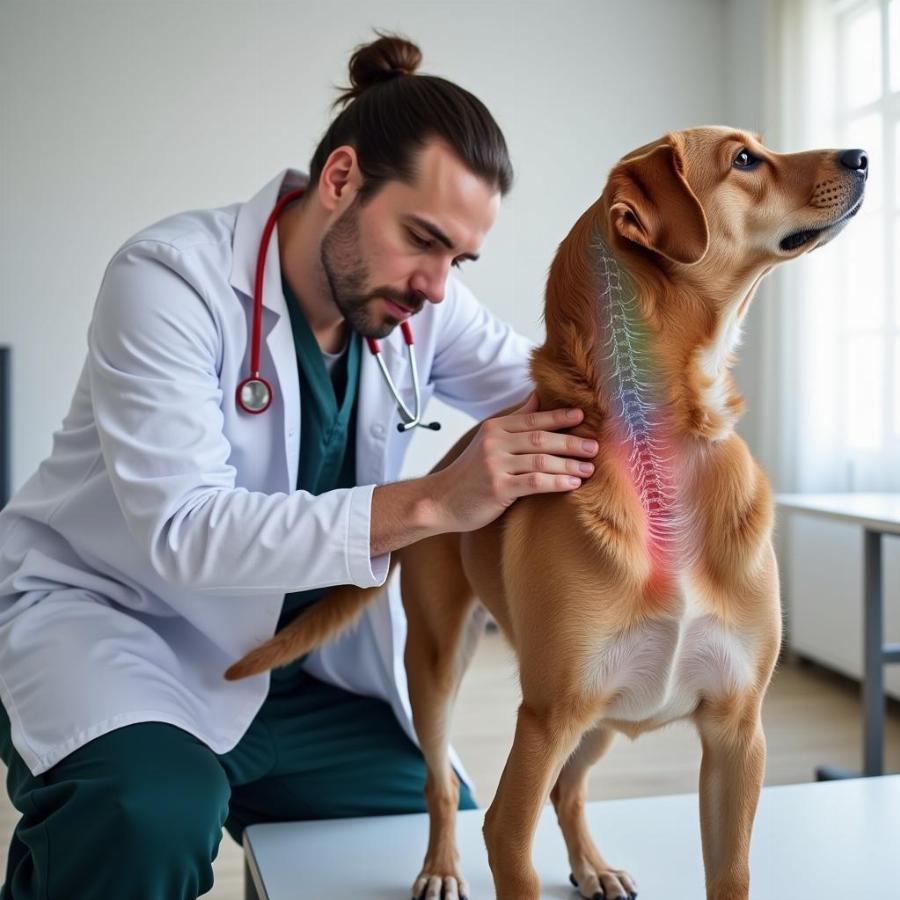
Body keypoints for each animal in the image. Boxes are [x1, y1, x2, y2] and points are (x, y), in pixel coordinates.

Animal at [229, 128, 868, 900]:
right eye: (744, 158)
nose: (863, 157)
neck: (661, 458)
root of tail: (438, 471)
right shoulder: (542, 730)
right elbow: (507, 831)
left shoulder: (736, 736)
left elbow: (731, 871)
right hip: (438, 667)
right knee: (442, 783)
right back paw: (440, 867)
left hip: (607, 713)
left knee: (569, 789)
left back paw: (591, 864)